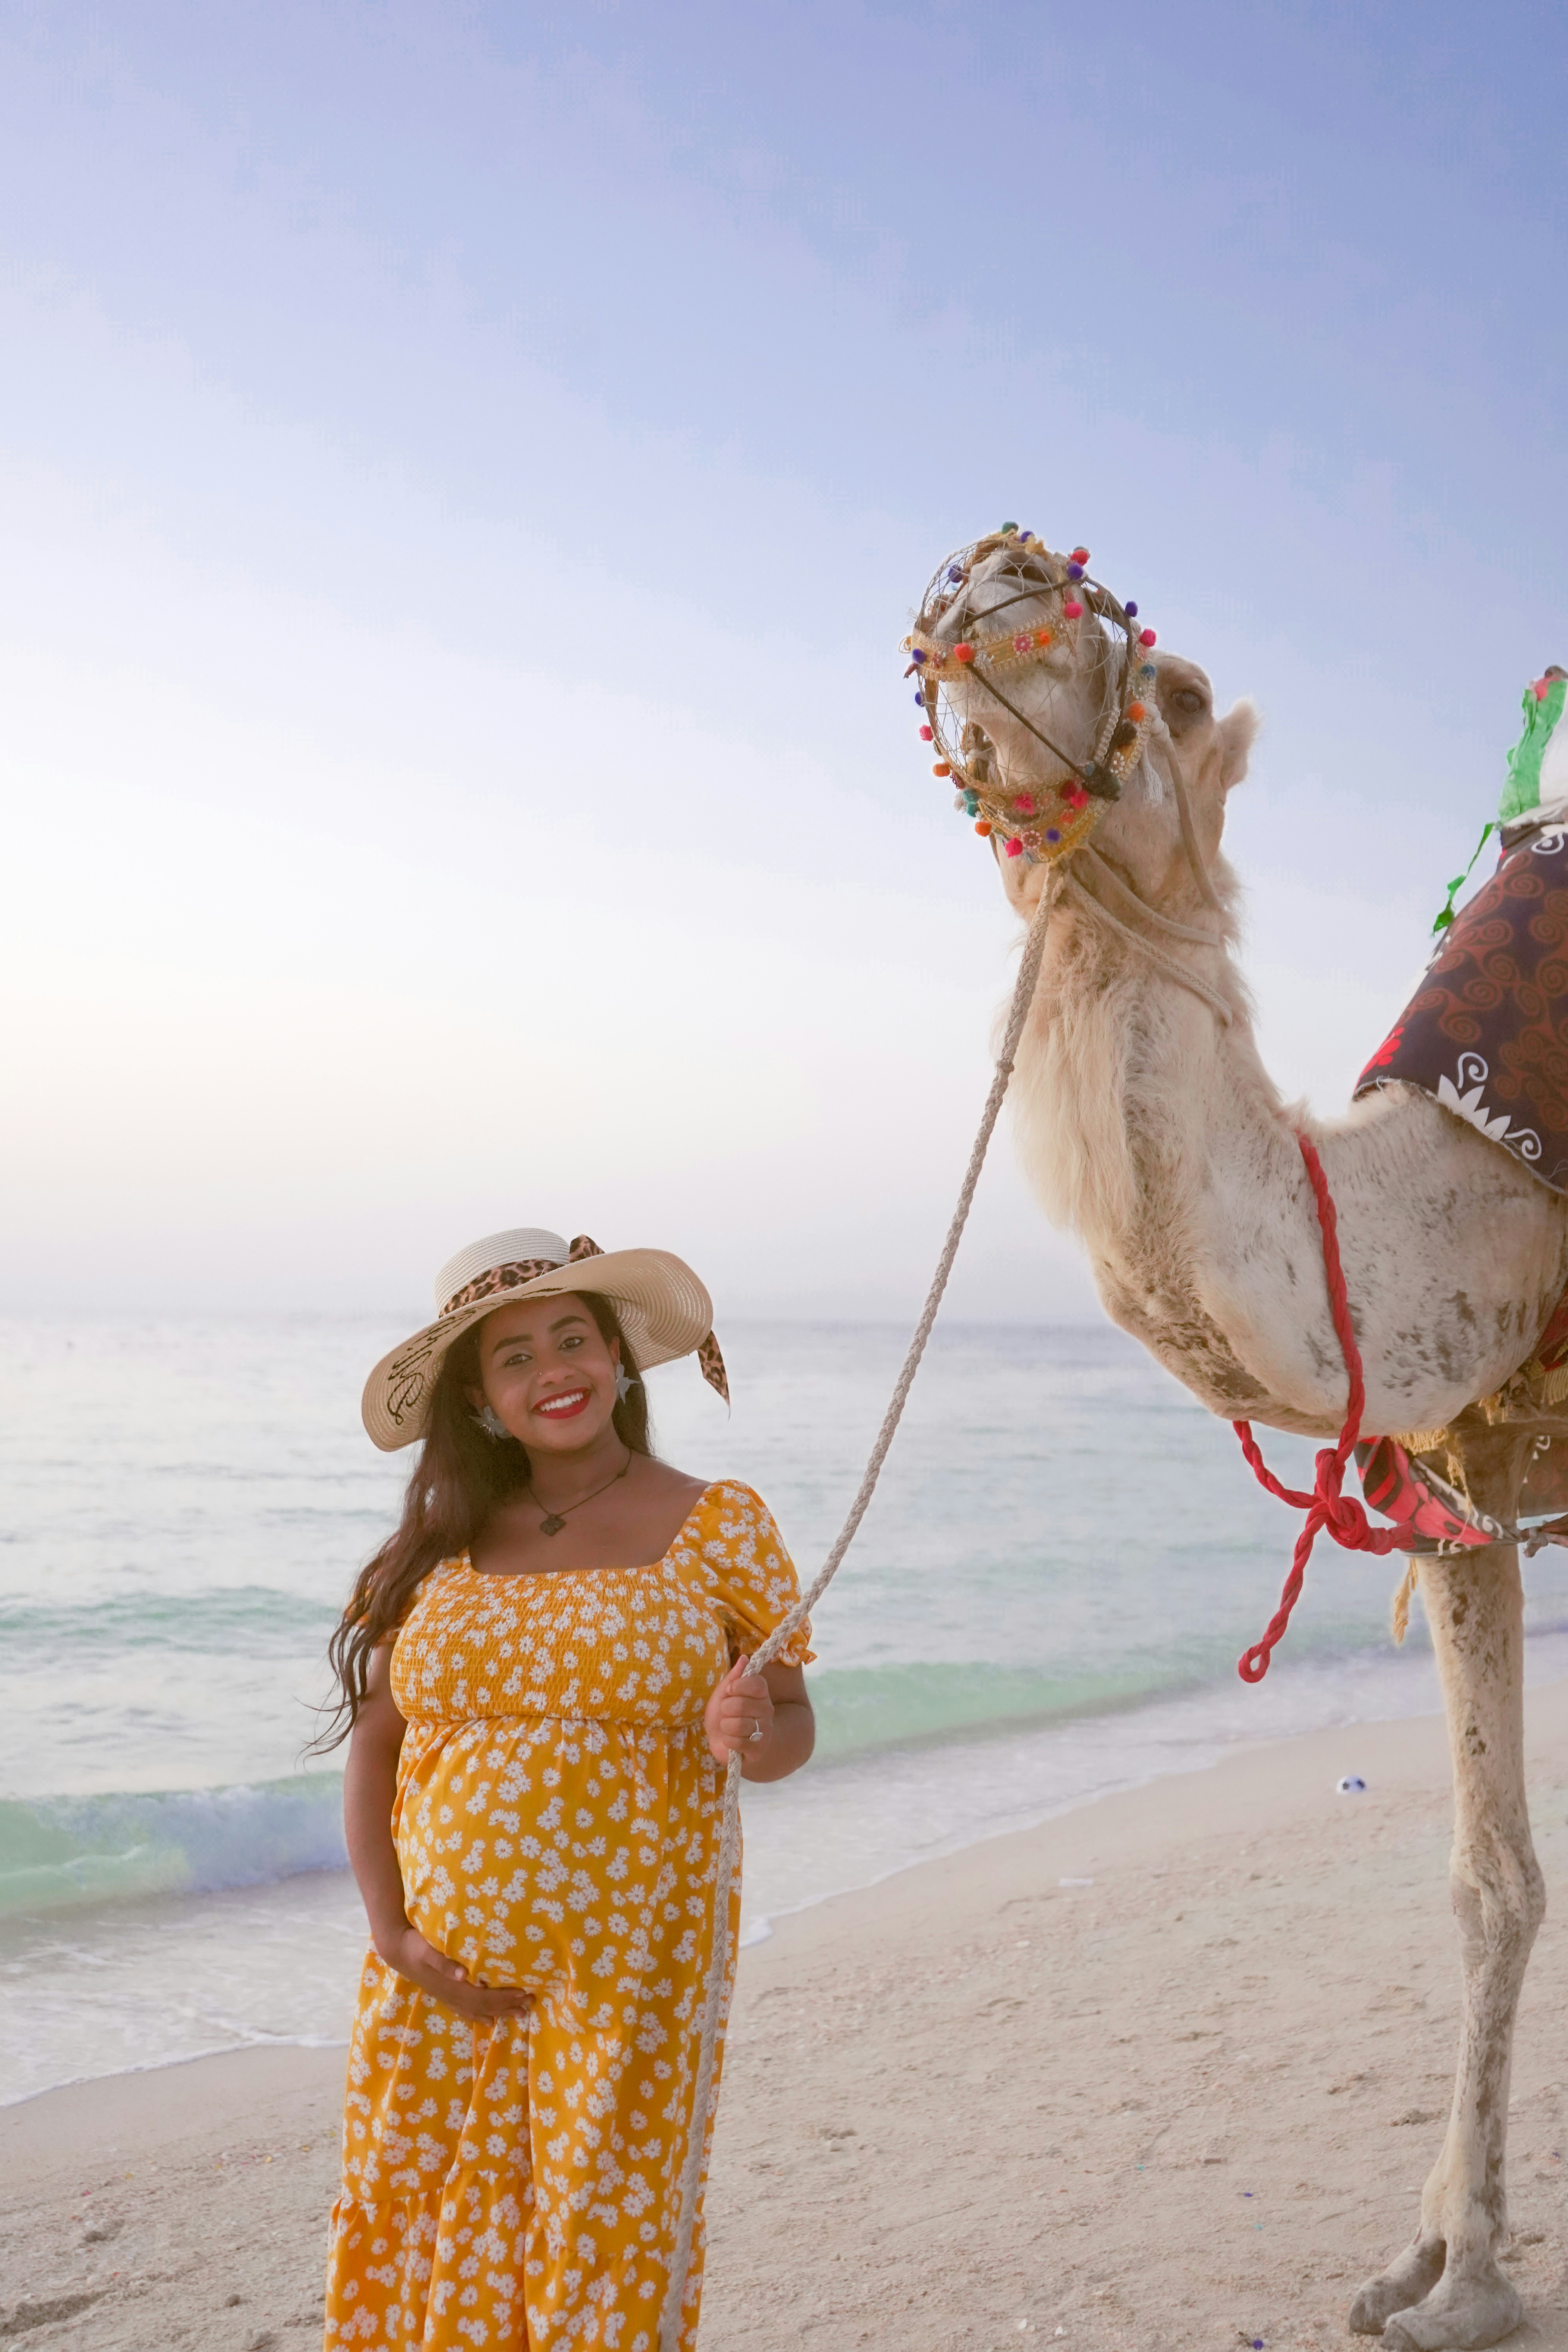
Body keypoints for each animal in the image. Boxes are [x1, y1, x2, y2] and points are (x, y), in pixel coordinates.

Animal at [913, 530, 1568, 2348]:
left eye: (1187, 692)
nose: (988, 573)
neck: (1480, 1171)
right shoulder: (1465, 1472)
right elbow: (1489, 1873)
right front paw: (1451, 2269)